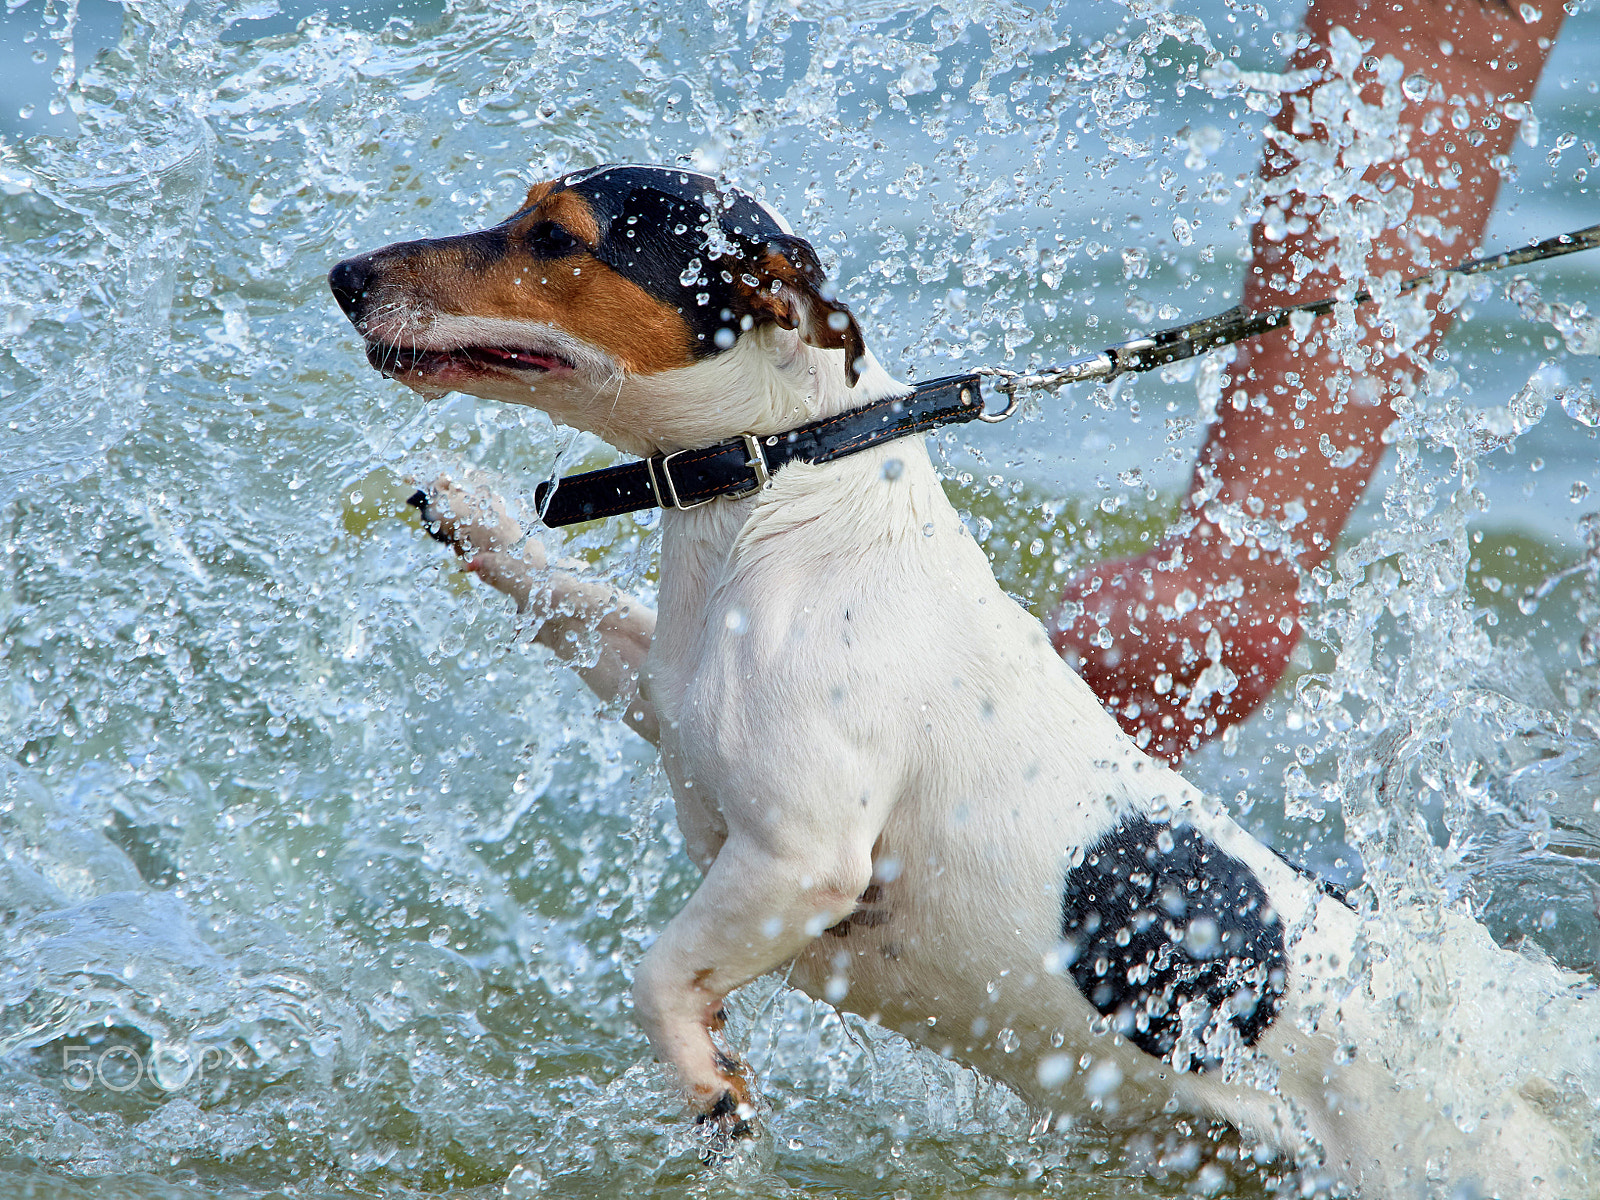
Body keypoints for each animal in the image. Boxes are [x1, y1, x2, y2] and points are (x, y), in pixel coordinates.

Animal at [331, 164, 1593, 1196]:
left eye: (556, 237)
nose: (343, 275)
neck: (784, 491)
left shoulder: (801, 854)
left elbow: (654, 975)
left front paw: (711, 1082)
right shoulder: (668, 700)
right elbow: (575, 606)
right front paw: (476, 517)